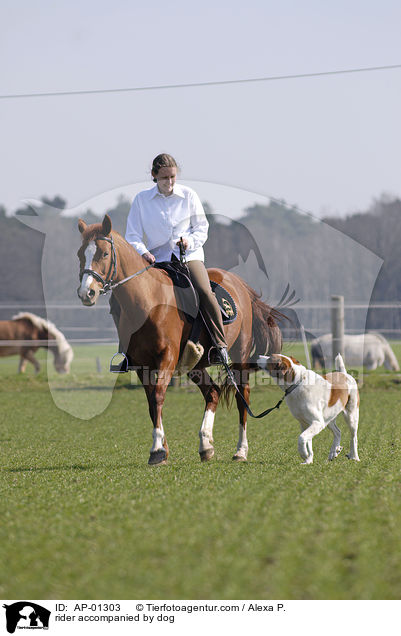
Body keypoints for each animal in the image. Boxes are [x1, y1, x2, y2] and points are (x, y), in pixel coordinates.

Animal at [76, 216, 282, 464]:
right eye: (80, 254)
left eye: (105, 254)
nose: (86, 293)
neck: (149, 302)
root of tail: (239, 284)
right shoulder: (142, 365)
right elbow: (152, 404)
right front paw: (162, 450)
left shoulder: (167, 357)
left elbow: (158, 396)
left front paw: (157, 449)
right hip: (196, 365)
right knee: (212, 393)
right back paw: (205, 446)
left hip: (238, 356)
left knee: (243, 396)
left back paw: (240, 450)